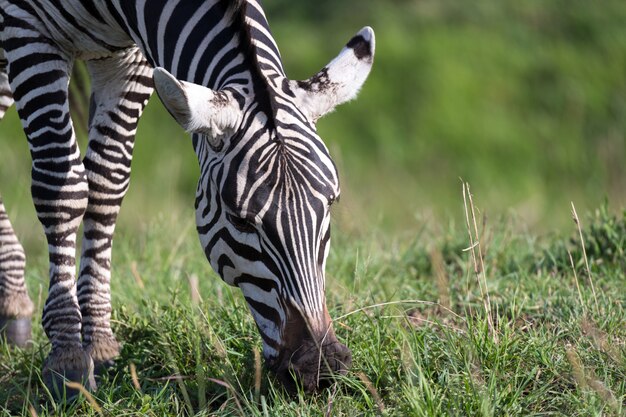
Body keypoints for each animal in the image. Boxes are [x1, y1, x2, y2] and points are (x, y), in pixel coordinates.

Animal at [0, 0, 370, 396]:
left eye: (330, 203)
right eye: (240, 219)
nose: (321, 368)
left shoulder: (130, 60)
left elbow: (106, 182)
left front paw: (98, 344)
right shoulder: (26, 27)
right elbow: (62, 184)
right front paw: (67, 358)